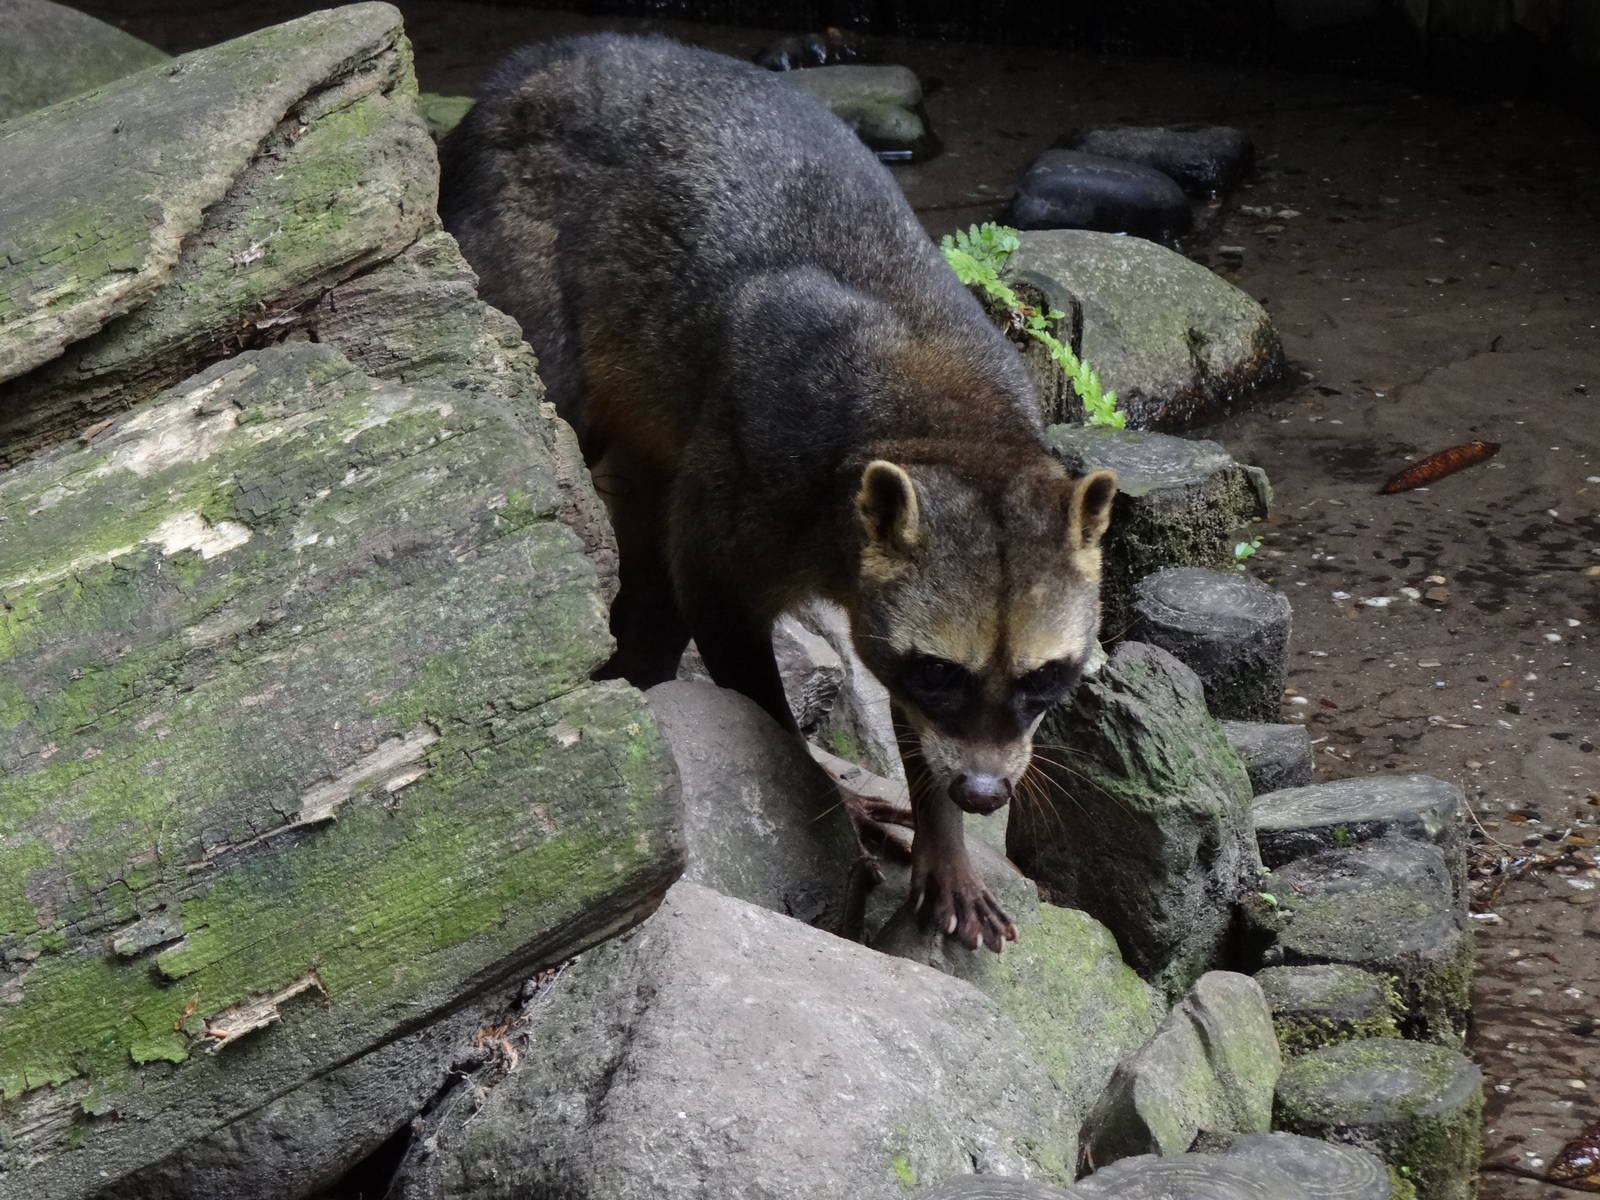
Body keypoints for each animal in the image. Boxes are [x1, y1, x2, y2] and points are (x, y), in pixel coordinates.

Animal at [440, 35, 1116, 952]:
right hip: (518, 257)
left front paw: (940, 830)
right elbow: (726, 633)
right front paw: (834, 790)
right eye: (941, 670)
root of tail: (534, 63)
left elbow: (903, 714)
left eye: (1044, 678)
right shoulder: (761, 462)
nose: (982, 795)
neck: (946, 423)